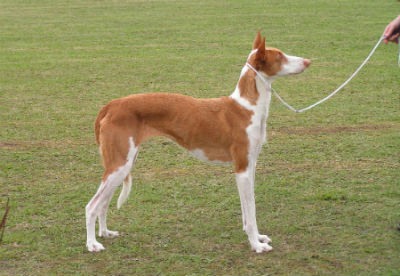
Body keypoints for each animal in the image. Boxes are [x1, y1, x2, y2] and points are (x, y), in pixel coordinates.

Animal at [86, 31, 310, 252]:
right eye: (280, 56)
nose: (308, 61)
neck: (246, 107)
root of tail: (111, 105)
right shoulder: (242, 169)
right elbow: (251, 210)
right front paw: (256, 244)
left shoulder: (250, 166)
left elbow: (248, 211)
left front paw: (257, 237)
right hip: (119, 166)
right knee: (91, 206)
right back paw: (92, 244)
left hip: (121, 165)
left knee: (103, 204)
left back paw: (105, 232)